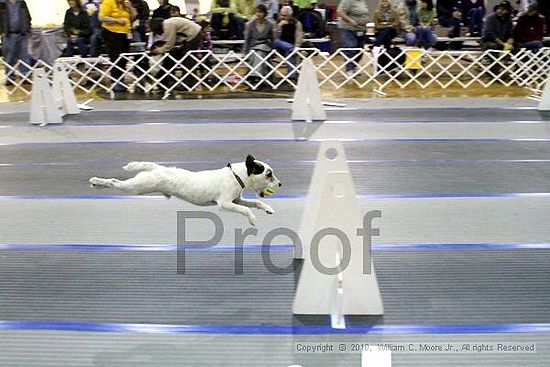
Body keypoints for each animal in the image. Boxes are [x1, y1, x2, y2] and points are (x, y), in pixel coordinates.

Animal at [90, 154, 282, 226]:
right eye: (269, 174)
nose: (280, 184)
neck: (236, 175)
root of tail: (156, 168)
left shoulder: (237, 199)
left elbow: (255, 202)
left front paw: (267, 208)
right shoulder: (225, 203)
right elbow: (245, 209)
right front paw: (252, 219)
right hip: (137, 186)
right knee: (114, 182)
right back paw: (96, 181)